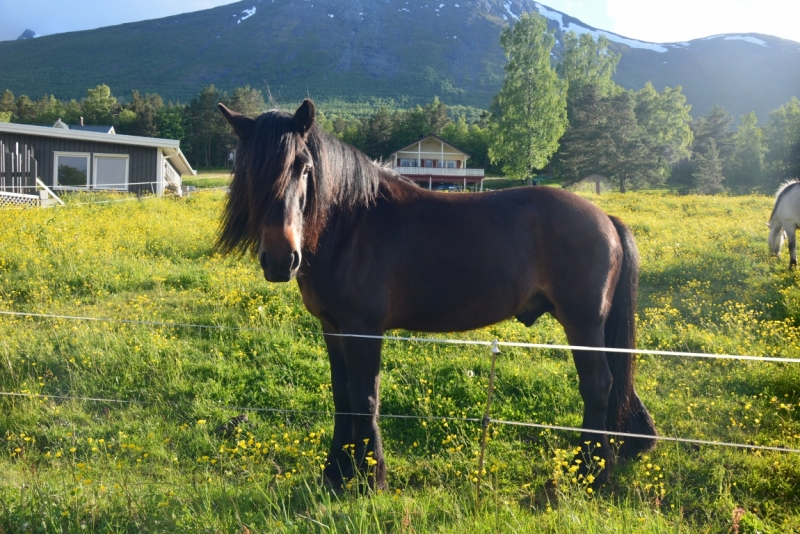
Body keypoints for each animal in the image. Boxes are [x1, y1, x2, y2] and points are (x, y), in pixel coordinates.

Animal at [214, 98, 656, 492]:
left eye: (303, 167)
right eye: (249, 168)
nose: (280, 258)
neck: (349, 223)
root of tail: (606, 218)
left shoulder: (363, 330)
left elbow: (365, 396)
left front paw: (371, 478)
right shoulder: (333, 328)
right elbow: (342, 396)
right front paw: (335, 473)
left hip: (582, 323)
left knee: (598, 384)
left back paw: (593, 471)